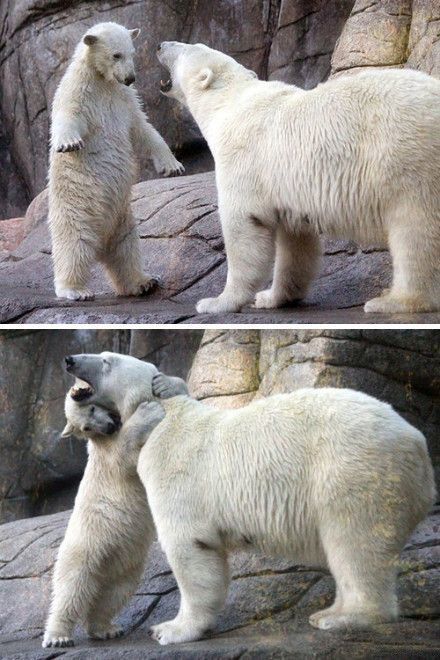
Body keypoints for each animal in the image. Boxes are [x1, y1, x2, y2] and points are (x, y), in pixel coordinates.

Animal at [157, 42, 440, 314]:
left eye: (186, 47)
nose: (160, 45)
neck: (229, 101)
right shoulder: (286, 187)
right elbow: (295, 243)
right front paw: (271, 297)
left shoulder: (243, 158)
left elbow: (243, 225)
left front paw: (218, 302)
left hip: (407, 156)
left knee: (414, 229)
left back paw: (394, 301)